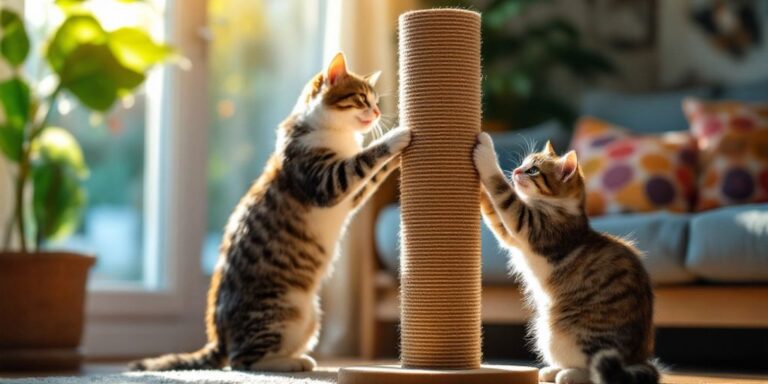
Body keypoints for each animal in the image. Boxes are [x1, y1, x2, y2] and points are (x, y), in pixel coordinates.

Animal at [130, 53, 414, 372]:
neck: (337, 135)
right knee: (241, 361)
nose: (377, 113)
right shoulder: (326, 182)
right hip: (277, 309)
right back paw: (293, 363)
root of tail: (219, 336)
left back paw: (297, 358)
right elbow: (363, 159)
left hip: (309, 317)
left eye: (376, 101)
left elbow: (371, 178)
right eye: (362, 98)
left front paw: (397, 162)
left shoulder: (351, 197)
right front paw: (396, 136)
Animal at [474, 133, 660, 384]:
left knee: (593, 369)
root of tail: (638, 359)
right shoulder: (511, 235)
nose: (516, 171)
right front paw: (479, 190)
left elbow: (502, 191)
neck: (558, 207)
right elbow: (493, 213)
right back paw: (552, 370)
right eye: (524, 164)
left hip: (567, 331)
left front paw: (485, 152)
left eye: (533, 170)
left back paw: (568, 374)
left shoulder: (529, 224)